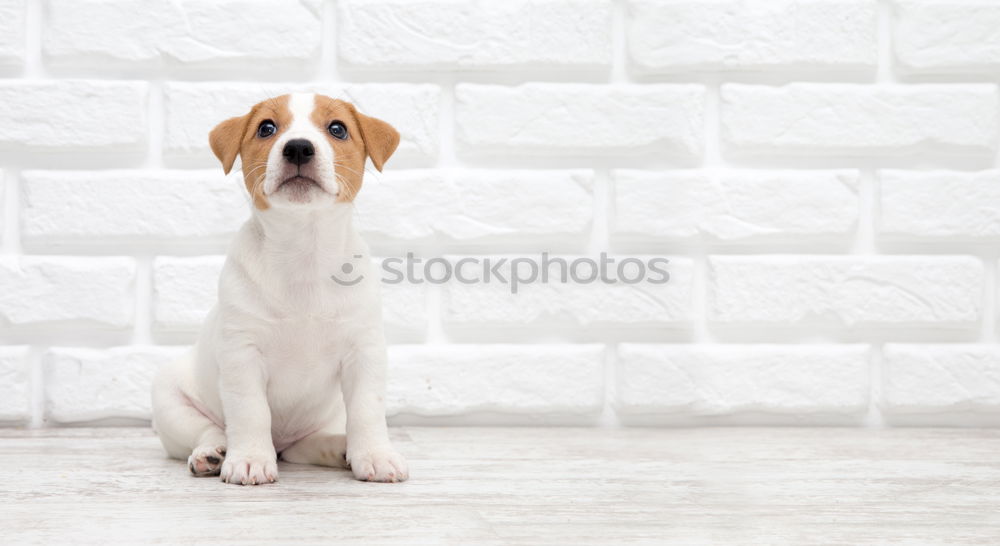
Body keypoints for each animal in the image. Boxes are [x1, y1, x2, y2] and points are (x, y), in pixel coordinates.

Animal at [150, 93, 408, 484]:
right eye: (266, 128)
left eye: (338, 128)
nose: (299, 147)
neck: (303, 252)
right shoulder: (242, 354)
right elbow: (250, 411)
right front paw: (250, 459)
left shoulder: (364, 352)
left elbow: (367, 409)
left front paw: (375, 456)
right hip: (171, 401)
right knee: (209, 429)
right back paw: (212, 453)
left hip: (324, 417)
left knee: (308, 443)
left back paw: (339, 447)